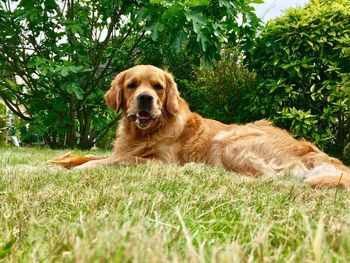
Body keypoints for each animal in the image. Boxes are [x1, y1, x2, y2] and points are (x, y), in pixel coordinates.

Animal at [78, 65, 350, 189]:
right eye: (132, 85)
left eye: (158, 87)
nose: (146, 98)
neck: (144, 132)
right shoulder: (124, 150)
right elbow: (95, 156)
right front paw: (68, 161)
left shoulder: (162, 161)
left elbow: (113, 160)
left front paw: (76, 169)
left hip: (231, 140)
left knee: (266, 178)